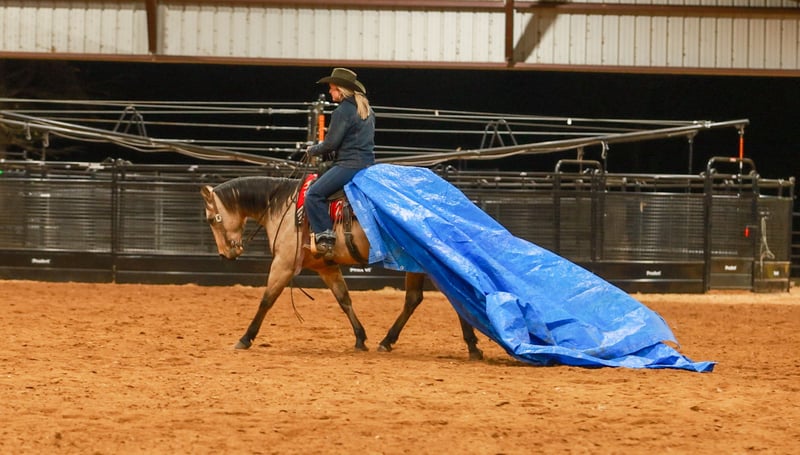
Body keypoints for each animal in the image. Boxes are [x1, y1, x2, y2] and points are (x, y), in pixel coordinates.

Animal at [200, 175, 484, 360]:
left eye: (211, 219)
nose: (226, 254)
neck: (286, 209)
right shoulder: (327, 268)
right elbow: (344, 299)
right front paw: (360, 338)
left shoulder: (283, 264)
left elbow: (266, 300)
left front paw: (245, 338)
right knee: (417, 299)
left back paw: (469, 346)